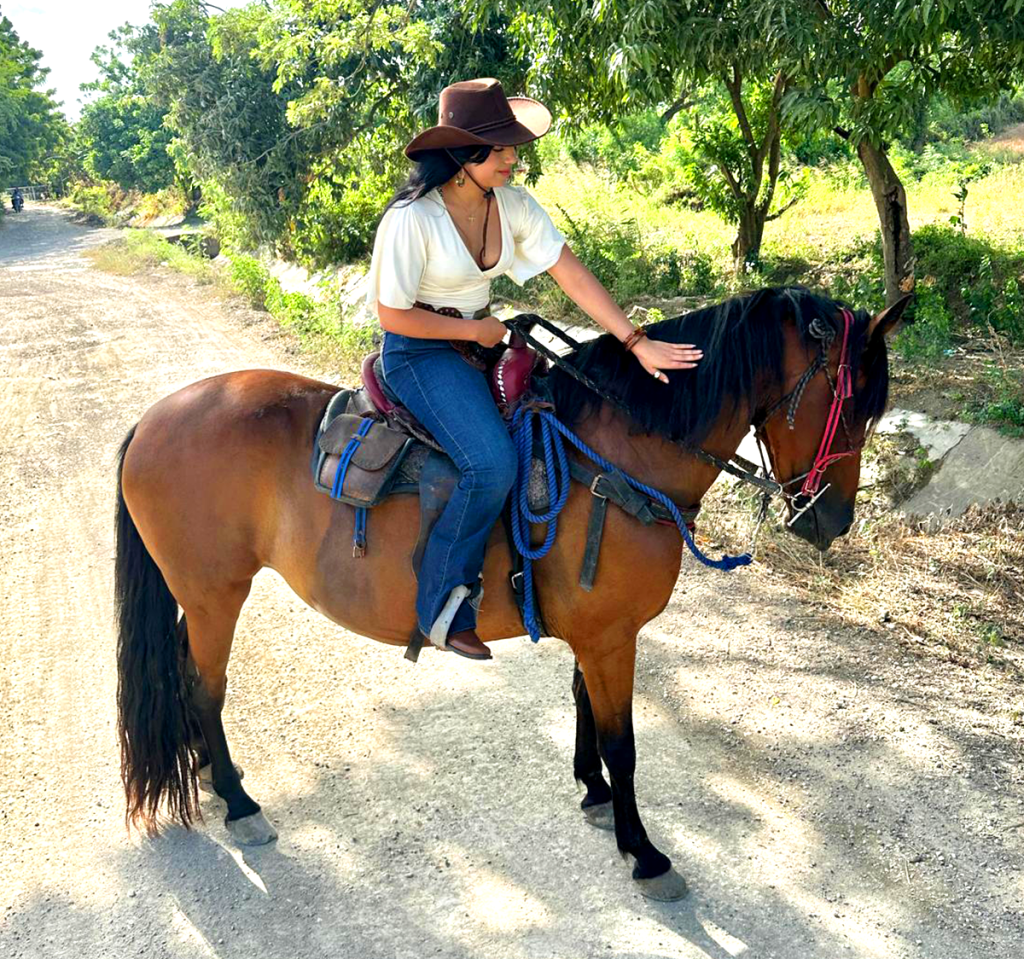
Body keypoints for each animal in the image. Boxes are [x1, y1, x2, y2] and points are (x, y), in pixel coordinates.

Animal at [114, 285, 909, 900]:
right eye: (853, 408)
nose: (833, 521)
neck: (616, 454)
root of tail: (151, 417)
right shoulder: (611, 636)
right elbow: (623, 744)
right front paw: (643, 851)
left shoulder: (596, 635)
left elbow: (584, 706)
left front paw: (592, 792)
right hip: (215, 593)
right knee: (204, 687)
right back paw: (238, 799)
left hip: (203, 596)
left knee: (189, 679)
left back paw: (214, 773)